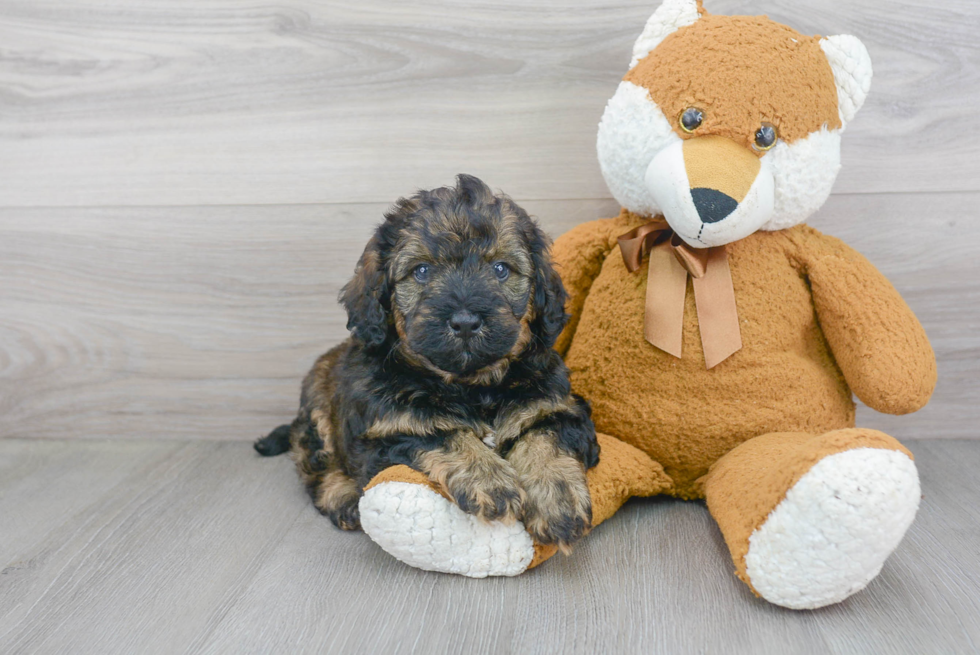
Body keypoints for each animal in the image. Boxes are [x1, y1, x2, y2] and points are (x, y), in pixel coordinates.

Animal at [253, 176, 600, 552]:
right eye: (421, 271)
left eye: (500, 269)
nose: (465, 321)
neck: (471, 387)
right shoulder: (387, 434)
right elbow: (440, 434)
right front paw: (490, 479)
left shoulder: (560, 407)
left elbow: (543, 436)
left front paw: (557, 499)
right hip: (317, 412)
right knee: (316, 468)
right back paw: (342, 496)